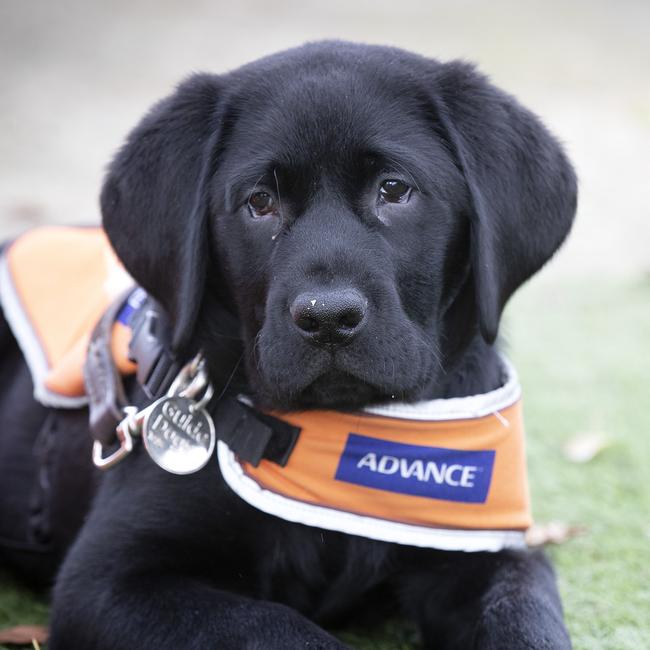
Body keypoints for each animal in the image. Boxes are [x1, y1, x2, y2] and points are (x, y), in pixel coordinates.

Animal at [5, 43, 576, 644]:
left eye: (394, 189)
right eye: (260, 202)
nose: (328, 319)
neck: (345, 435)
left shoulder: (487, 553)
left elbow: (524, 616)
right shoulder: (107, 578)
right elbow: (273, 626)